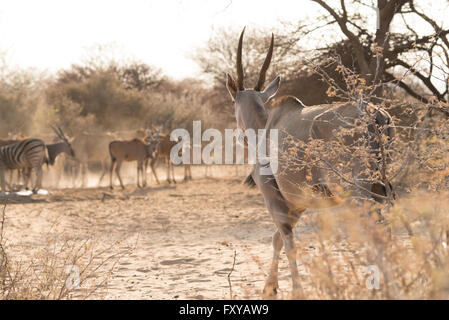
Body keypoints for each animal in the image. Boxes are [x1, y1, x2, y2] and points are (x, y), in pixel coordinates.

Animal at [226, 28, 394, 298]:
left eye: (233, 101)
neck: (266, 125)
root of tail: (376, 116)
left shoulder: (275, 201)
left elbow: (287, 241)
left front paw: (295, 290)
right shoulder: (297, 205)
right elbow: (277, 239)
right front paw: (270, 287)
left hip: (355, 191)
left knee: (372, 228)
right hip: (382, 187)